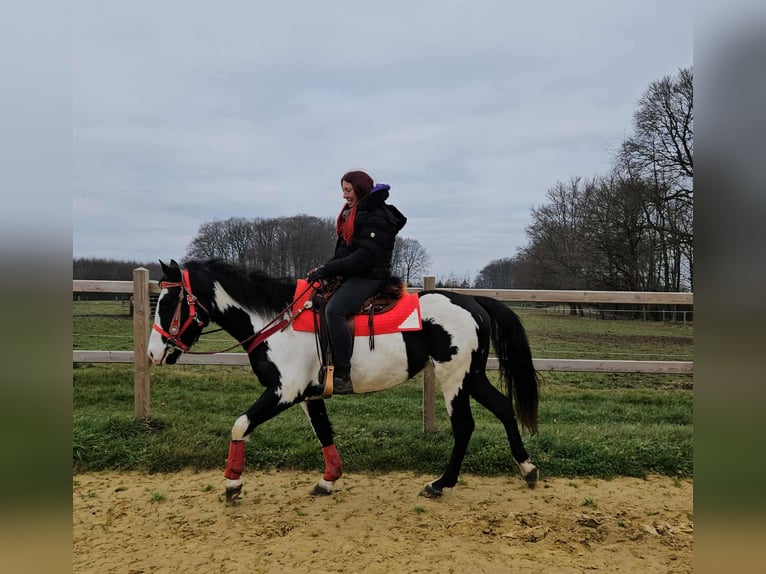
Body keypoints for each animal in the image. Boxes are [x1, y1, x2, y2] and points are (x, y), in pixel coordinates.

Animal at [148, 259, 540, 502]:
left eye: (168, 302)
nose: (152, 353)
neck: (278, 322)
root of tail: (473, 302)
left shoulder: (284, 392)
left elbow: (240, 424)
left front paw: (232, 483)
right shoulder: (309, 395)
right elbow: (324, 432)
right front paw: (328, 479)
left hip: (454, 378)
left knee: (464, 426)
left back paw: (440, 484)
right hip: (473, 376)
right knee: (504, 408)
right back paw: (528, 469)